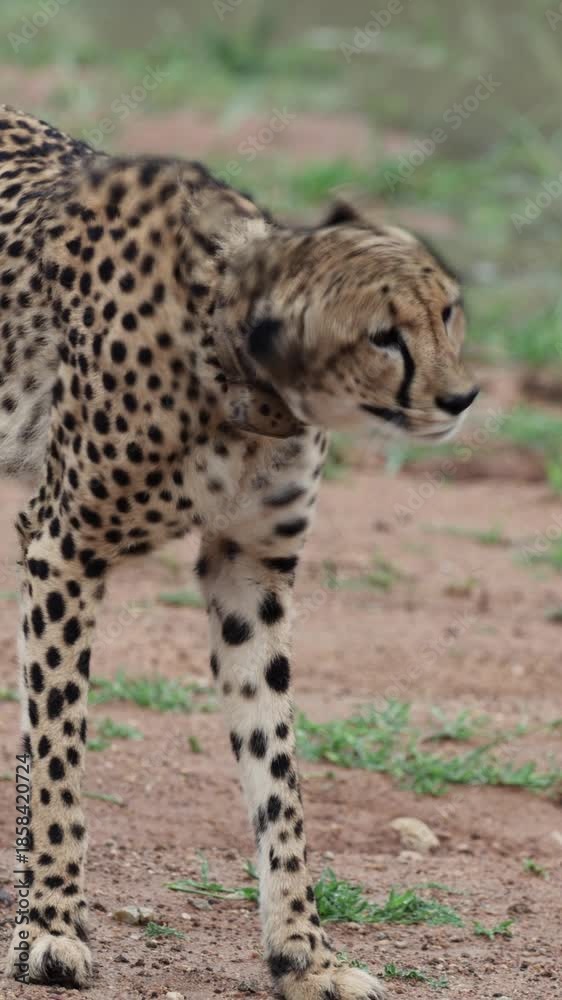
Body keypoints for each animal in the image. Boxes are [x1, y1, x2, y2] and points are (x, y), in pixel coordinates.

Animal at [1, 105, 479, 998]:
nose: (462, 397)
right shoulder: (63, 546)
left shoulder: (251, 571)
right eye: (383, 336)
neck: (245, 384)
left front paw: (304, 955)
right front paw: (49, 927)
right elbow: (58, 752)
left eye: (449, 313)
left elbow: (276, 772)